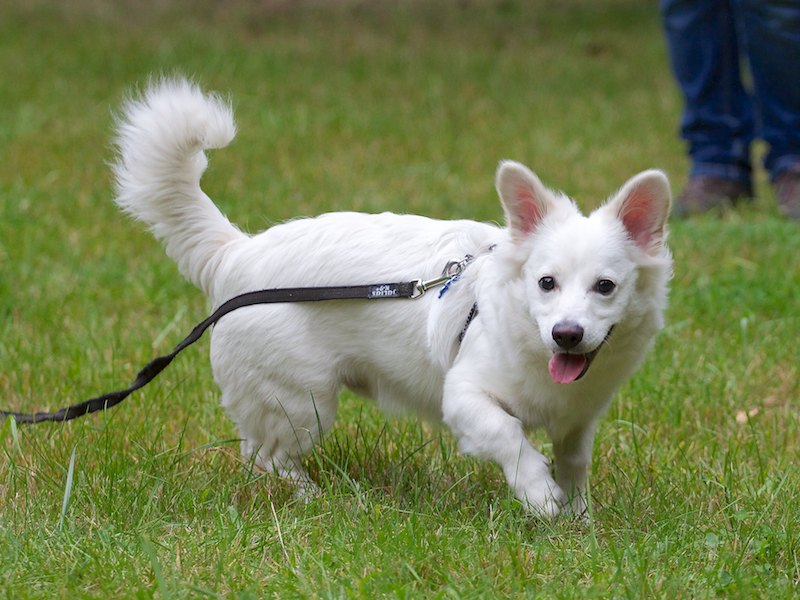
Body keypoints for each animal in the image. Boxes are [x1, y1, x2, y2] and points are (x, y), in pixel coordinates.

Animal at [113, 79, 672, 518]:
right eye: (546, 283)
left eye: (605, 287)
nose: (567, 335)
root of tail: (236, 253)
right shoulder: (463, 397)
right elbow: (508, 435)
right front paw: (539, 493)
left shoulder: (578, 420)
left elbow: (574, 462)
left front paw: (579, 519)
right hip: (302, 403)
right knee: (269, 459)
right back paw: (317, 499)